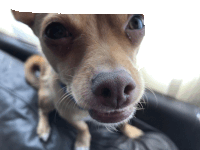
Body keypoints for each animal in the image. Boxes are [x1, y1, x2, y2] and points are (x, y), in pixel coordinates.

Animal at [11, 11, 145, 150]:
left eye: (137, 22)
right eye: (56, 31)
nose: (116, 86)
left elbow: (124, 121)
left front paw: (130, 130)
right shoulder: (67, 116)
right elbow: (83, 127)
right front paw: (82, 142)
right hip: (46, 98)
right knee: (42, 110)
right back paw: (43, 128)